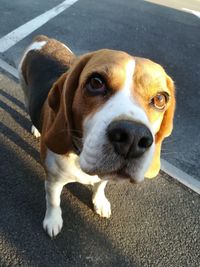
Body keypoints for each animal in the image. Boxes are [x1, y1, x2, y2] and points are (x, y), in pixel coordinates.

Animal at [18, 35, 175, 239]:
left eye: (160, 99)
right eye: (96, 82)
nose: (132, 138)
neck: (79, 155)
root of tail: (44, 39)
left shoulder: (104, 175)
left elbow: (100, 185)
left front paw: (99, 201)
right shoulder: (53, 180)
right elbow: (53, 201)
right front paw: (53, 220)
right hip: (24, 89)